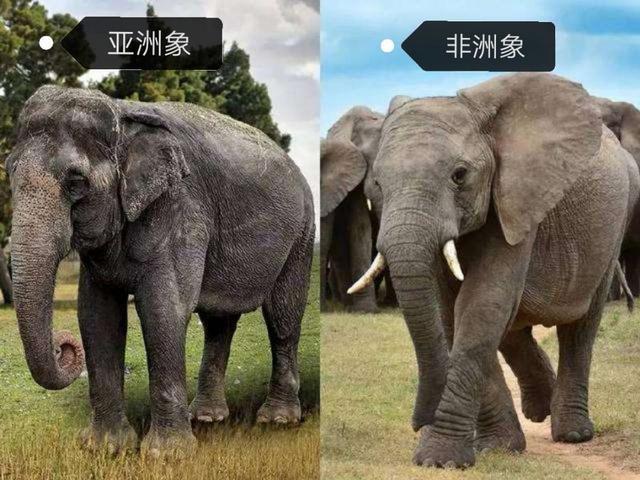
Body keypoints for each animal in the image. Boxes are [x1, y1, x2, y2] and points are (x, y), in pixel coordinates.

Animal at [6, 86, 315, 456]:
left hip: (301, 234)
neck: (123, 111)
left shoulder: (181, 208)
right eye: (9, 173)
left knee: (283, 316)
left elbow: (163, 309)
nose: (62, 346)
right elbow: (97, 315)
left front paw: (166, 455)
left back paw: (277, 420)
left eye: (76, 182)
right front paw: (105, 448)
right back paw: (207, 417)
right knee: (218, 321)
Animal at [348, 73, 639, 468]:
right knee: (513, 327)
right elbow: (452, 313)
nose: (419, 422)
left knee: (579, 328)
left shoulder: (518, 198)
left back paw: (572, 433)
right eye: (377, 183)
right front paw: (497, 447)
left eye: (459, 175)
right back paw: (540, 407)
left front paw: (439, 460)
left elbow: (481, 305)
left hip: (614, 226)